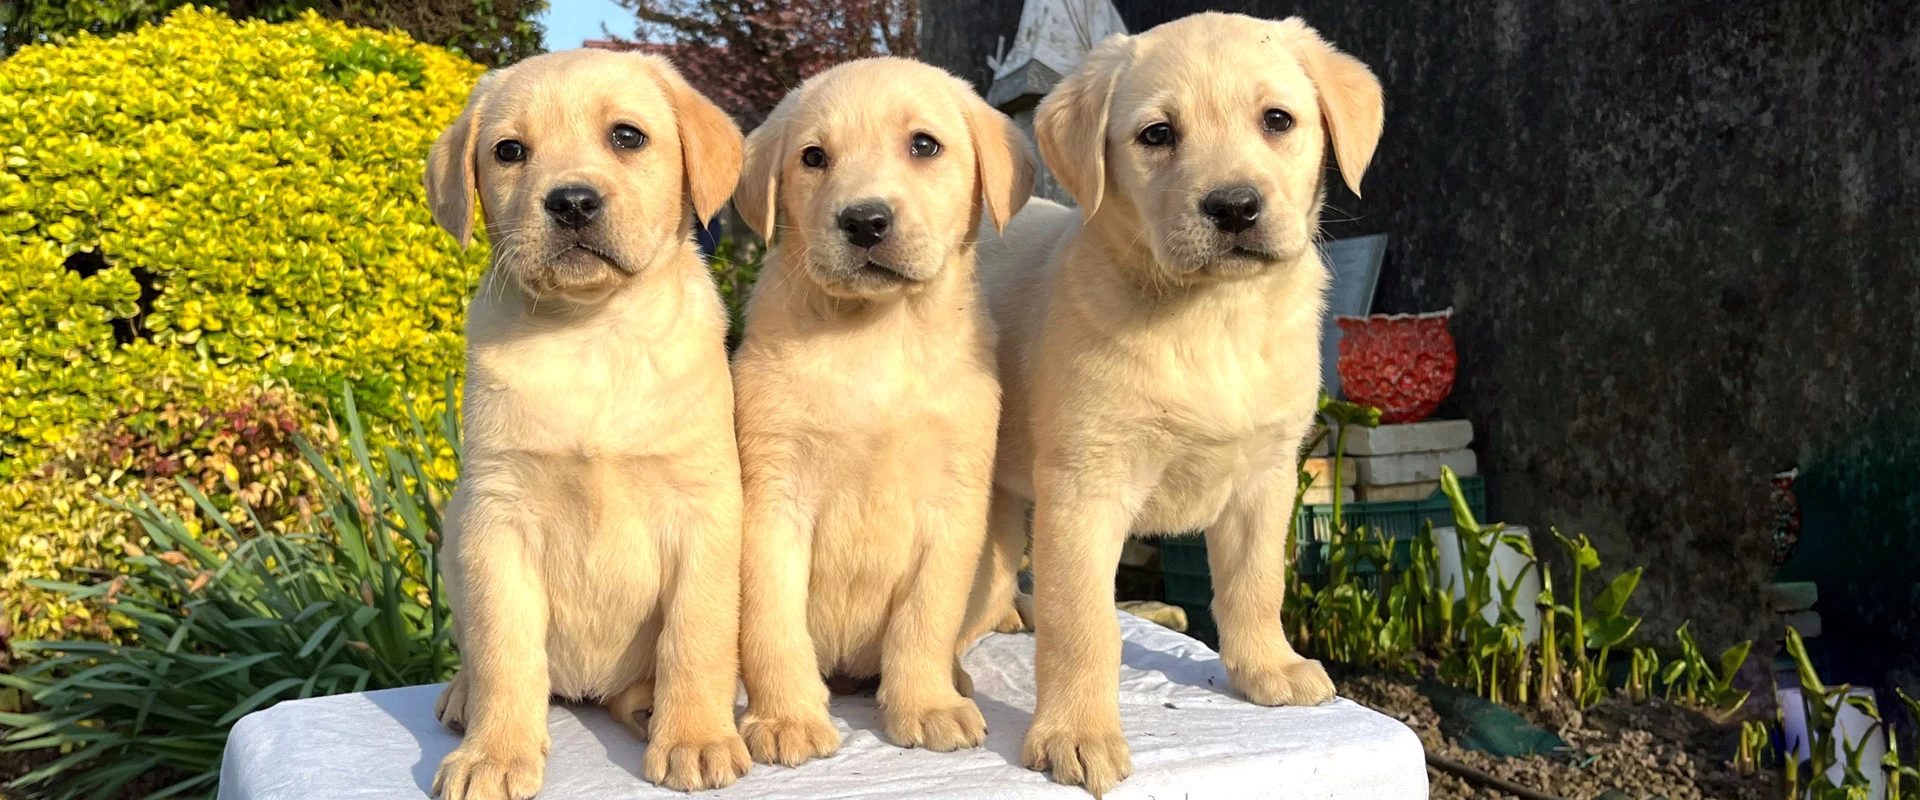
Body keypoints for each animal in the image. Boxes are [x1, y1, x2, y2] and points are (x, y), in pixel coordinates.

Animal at [426, 51, 748, 798]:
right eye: (509, 152)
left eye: (627, 137)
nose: (571, 201)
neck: (591, 333)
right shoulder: (497, 517)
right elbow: (504, 650)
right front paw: (494, 754)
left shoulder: (706, 509)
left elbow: (696, 636)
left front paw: (695, 737)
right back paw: (463, 698)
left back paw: (654, 708)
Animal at [729, 57, 1036, 767]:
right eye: (814, 157)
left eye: (924, 145)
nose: (864, 220)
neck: (874, 333)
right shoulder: (771, 497)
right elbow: (771, 622)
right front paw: (785, 716)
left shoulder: (954, 503)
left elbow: (926, 619)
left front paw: (924, 704)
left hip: (999, 558)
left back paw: (954, 680)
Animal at [967, 15, 1390, 794]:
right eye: (1157, 134)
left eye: (1277, 120)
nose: (1234, 206)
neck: (1211, 316)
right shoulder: (1087, 485)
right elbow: (1085, 621)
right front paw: (1076, 731)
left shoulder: (1268, 476)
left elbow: (1256, 582)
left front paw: (1267, 667)